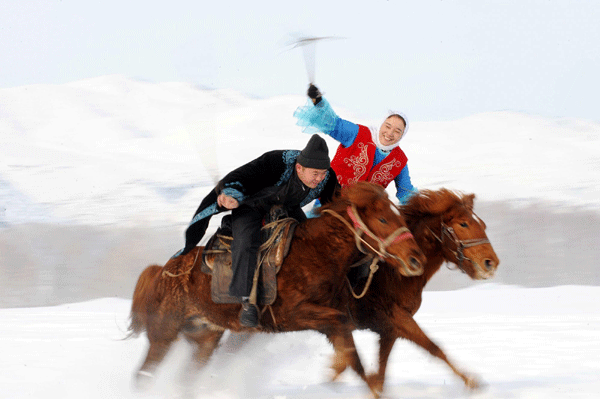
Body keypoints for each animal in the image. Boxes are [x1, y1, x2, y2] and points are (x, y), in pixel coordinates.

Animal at [128, 183, 424, 398]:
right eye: (383, 219)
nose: (416, 259)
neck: (316, 253)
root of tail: (163, 270)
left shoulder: (329, 322)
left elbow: (354, 358)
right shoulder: (295, 315)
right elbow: (350, 348)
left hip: (205, 337)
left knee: (187, 376)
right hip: (164, 334)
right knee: (144, 374)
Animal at [330, 190, 500, 396]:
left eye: (482, 224)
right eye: (463, 224)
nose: (491, 263)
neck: (391, 274)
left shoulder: (390, 328)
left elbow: (381, 369)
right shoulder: (397, 317)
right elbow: (433, 347)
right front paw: (470, 381)